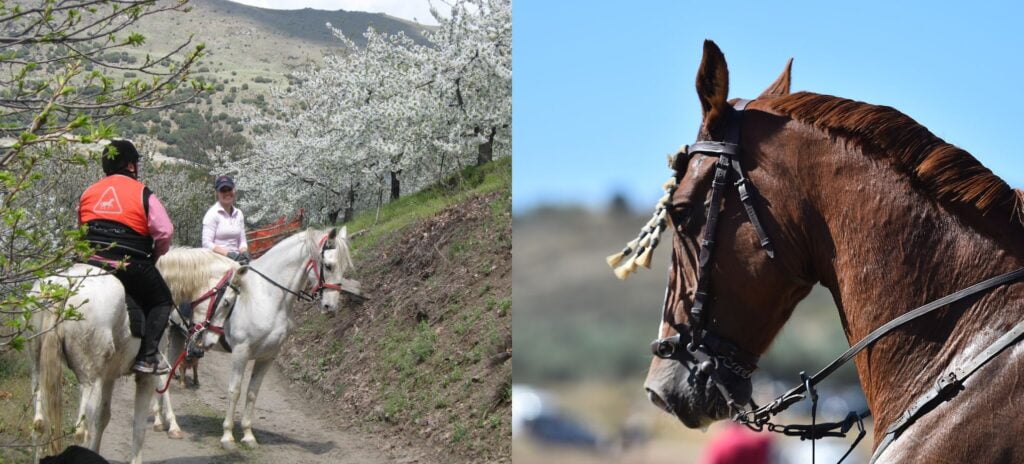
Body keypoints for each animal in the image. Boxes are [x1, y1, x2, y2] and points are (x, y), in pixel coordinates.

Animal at [29, 262, 154, 460]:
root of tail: (61, 286)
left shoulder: (109, 376)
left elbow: (104, 416)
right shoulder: (148, 377)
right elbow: (139, 427)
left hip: (37, 369)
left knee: (39, 425)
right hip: (90, 379)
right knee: (81, 432)